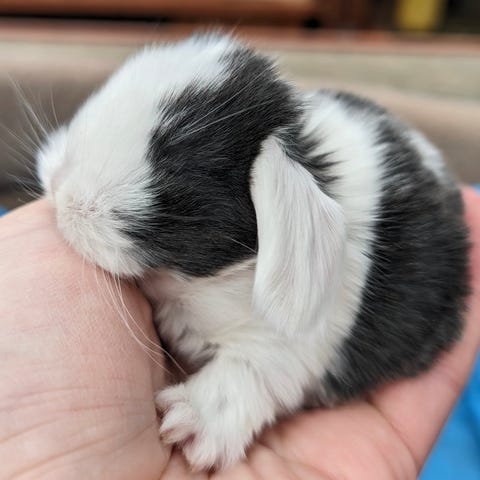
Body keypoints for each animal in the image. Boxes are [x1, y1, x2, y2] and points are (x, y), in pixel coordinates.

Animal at [36, 33, 469, 471]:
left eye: (171, 172)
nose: (60, 188)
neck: (199, 286)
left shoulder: (285, 349)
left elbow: (246, 373)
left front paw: (190, 422)